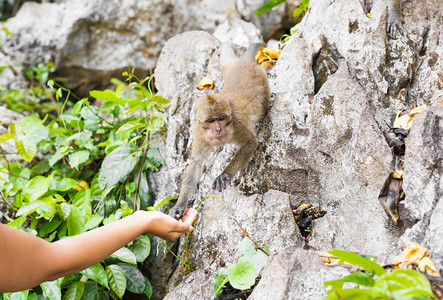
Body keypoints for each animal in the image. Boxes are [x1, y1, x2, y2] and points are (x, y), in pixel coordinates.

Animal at [169, 42, 270, 220]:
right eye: (211, 121)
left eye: (221, 118)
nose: (218, 128)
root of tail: (242, 62)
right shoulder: (199, 134)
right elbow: (196, 163)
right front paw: (179, 205)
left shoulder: (238, 125)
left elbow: (250, 143)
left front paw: (225, 174)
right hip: (229, 67)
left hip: (262, 78)